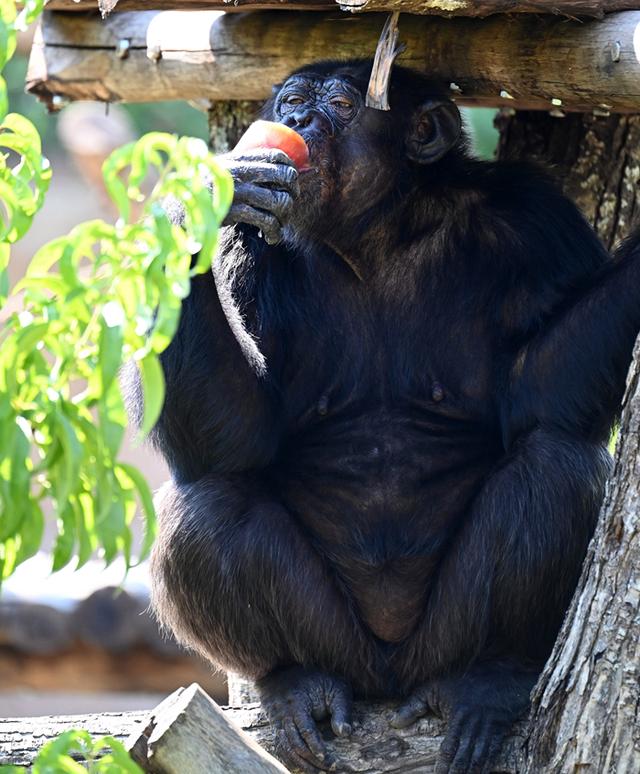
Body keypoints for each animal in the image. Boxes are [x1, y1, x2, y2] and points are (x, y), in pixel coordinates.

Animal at [138, 62, 640, 774]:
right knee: (207, 507)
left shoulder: (538, 225)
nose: (296, 121)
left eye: (343, 107)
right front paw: (202, 193)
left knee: (557, 469)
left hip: (444, 640)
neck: (377, 234)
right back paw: (295, 682)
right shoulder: (245, 244)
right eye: (293, 100)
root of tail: (391, 682)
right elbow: (236, 439)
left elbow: (538, 392)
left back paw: (490, 678)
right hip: (336, 640)